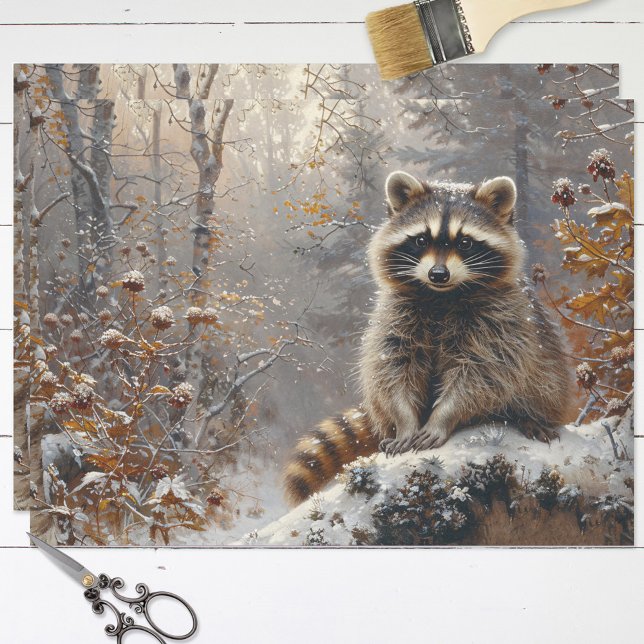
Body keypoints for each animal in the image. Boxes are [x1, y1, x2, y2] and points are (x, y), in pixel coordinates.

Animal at [284, 171, 571, 505]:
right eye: (421, 239)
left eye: (465, 242)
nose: (438, 274)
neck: (440, 297)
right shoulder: (395, 316)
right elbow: (393, 368)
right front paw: (406, 422)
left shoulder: (502, 321)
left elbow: (482, 374)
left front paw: (443, 416)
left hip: (548, 384)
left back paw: (526, 417)